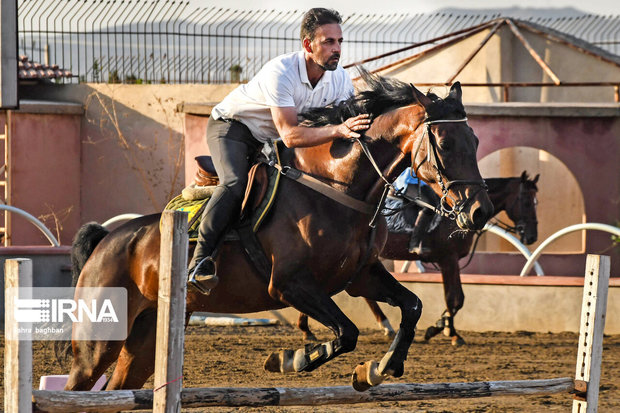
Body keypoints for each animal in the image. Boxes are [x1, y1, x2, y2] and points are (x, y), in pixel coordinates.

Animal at [59, 71, 494, 392]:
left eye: (474, 140)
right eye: (444, 143)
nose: (480, 212)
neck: (339, 189)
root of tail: (106, 241)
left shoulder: (359, 277)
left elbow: (412, 306)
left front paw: (380, 366)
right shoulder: (289, 284)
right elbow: (347, 331)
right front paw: (290, 360)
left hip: (147, 338)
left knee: (117, 388)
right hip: (99, 340)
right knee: (78, 385)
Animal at [298, 171, 540, 344]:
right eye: (527, 202)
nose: (531, 235)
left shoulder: (448, 261)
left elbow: (456, 298)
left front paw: (445, 327)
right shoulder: (448, 259)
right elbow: (455, 298)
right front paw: (445, 330)